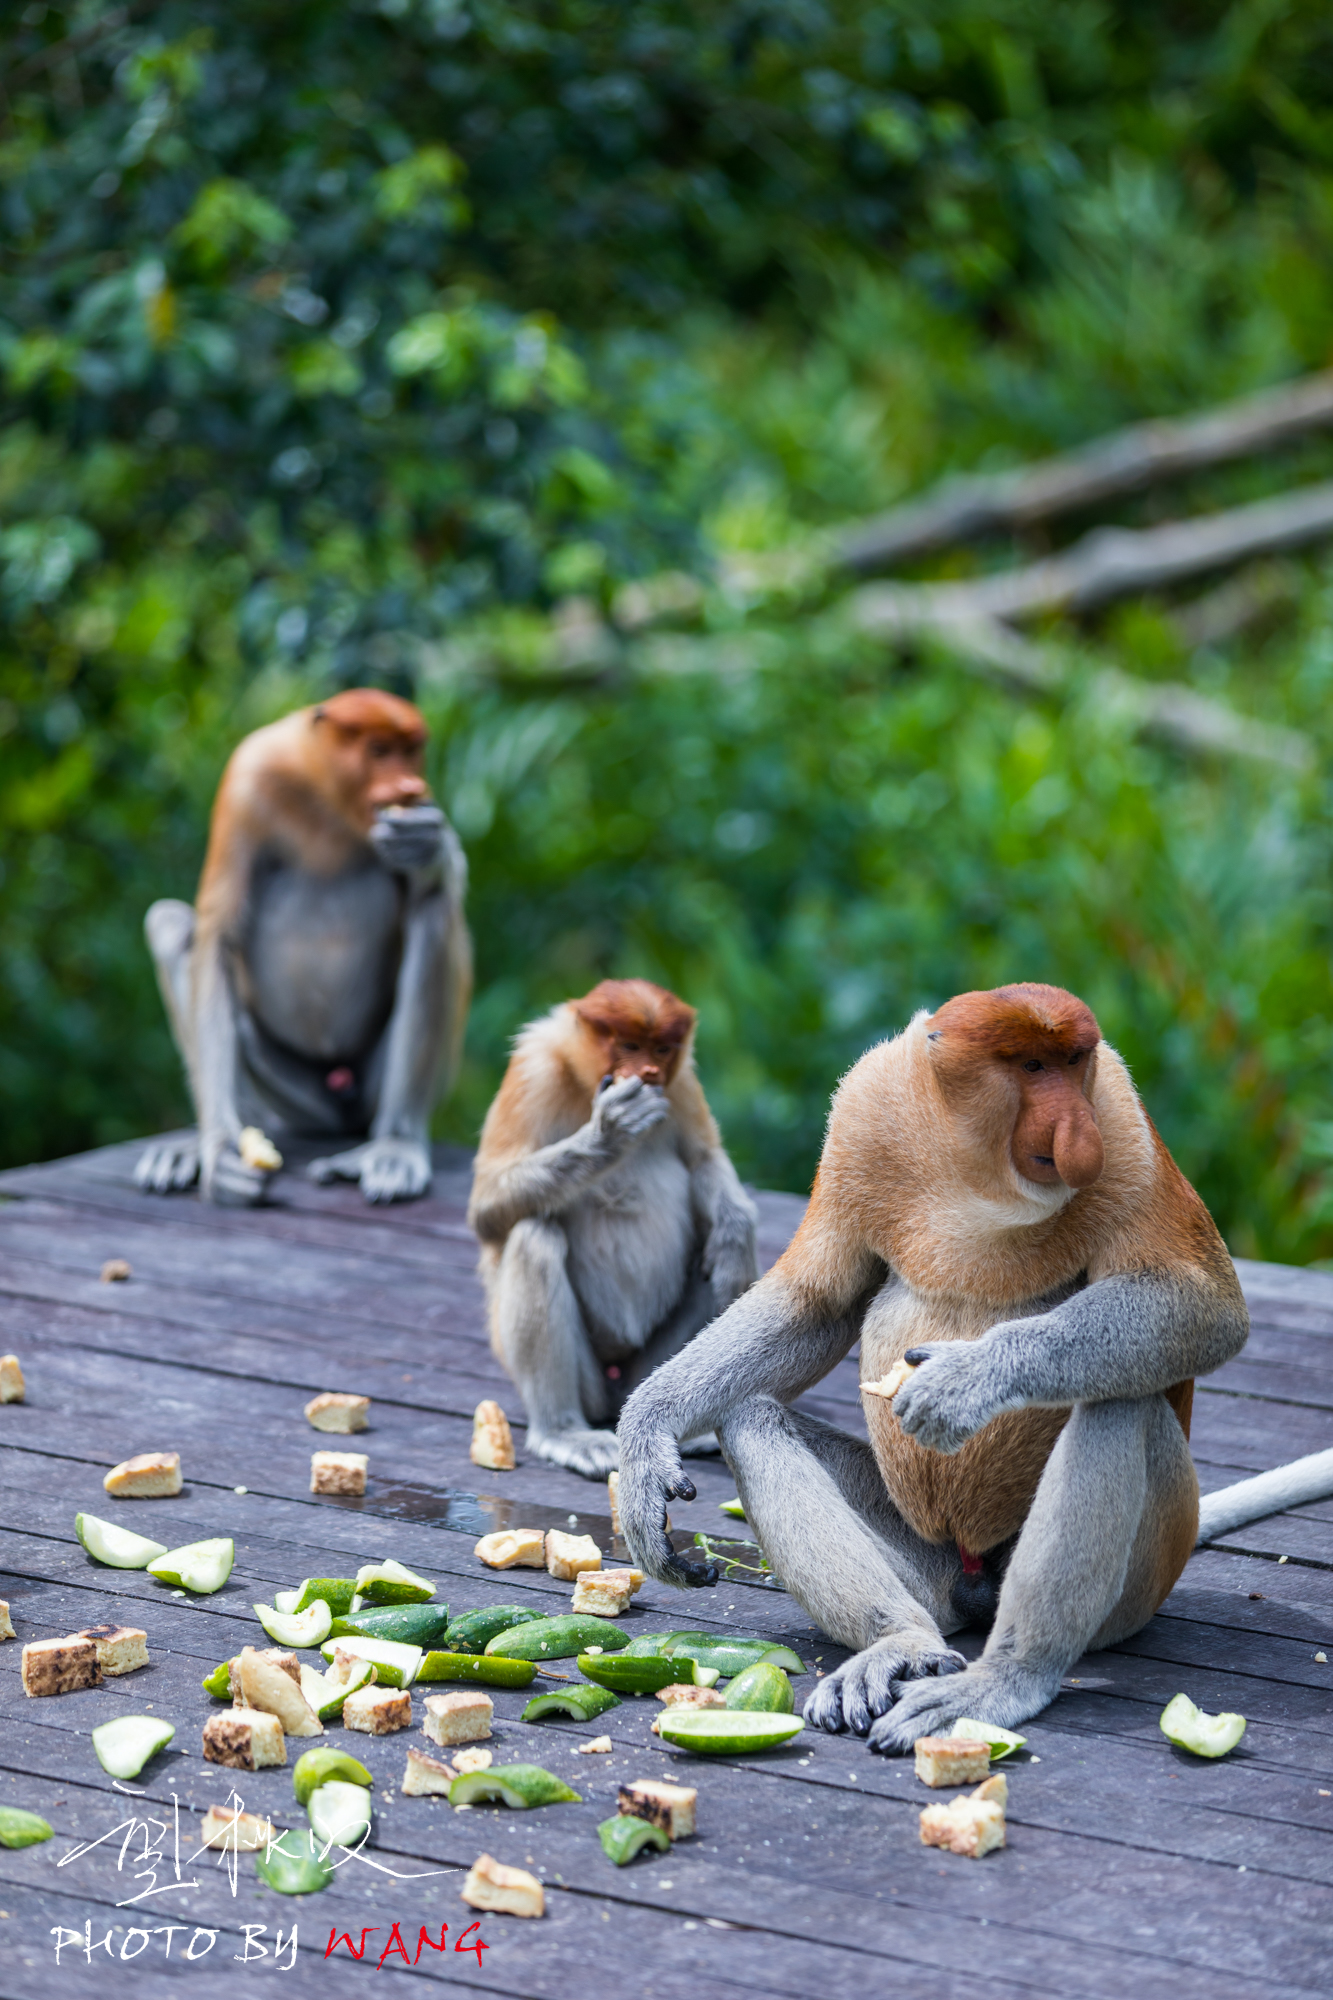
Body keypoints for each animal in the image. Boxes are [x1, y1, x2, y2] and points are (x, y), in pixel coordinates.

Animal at [137, 688, 470, 1200]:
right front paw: (220, 1151)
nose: (407, 786)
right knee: (169, 922)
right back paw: (199, 1144)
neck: (327, 796)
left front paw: (426, 845)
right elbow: (217, 937)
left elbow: (435, 885)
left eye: (411, 750)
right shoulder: (247, 781)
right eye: (378, 751)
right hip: (294, 1099)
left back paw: (396, 1147)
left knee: (434, 912)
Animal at [466, 976, 756, 1480]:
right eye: (629, 1046)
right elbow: (487, 1204)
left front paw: (735, 1237)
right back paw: (564, 1431)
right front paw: (612, 1129)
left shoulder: (681, 1083)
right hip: (586, 1382)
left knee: (710, 1260)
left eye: (662, 1049)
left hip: (649, 1369)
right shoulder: (534, 1072)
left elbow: (704, 1158)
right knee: (535, 1236)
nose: (649, 1072)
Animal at [612, 984, 1248, 1752]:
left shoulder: (1122, 1126)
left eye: (1074, 1063)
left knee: (1118, 1402)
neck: (974, 1166)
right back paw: (898, 1647)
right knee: (750, 1418)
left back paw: (1003, 1680)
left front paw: (964, 1380)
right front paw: (644, 1446)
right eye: (1033, 1066)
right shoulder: (862, 1113)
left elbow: (1202, 1305)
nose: (1074, 1128)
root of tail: (974, 1588)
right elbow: (815, 1303)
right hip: (928, 1563)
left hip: (1144, 1581)